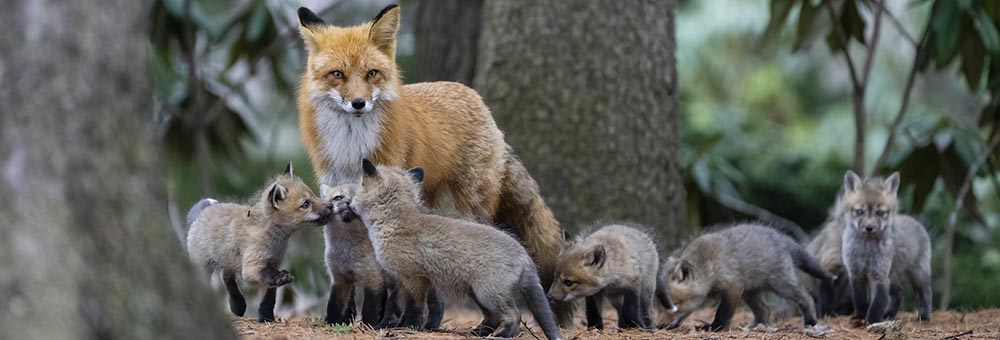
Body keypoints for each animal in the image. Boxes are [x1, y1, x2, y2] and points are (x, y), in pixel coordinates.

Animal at [296, 4, 572, 324]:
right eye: (337, 75)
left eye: (372, 74)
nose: (358, 103)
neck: (352, 144)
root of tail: (474, 96)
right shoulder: (333, 178)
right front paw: (345, 317)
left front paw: (385, 319)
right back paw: (433, 320)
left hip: (471, 204)